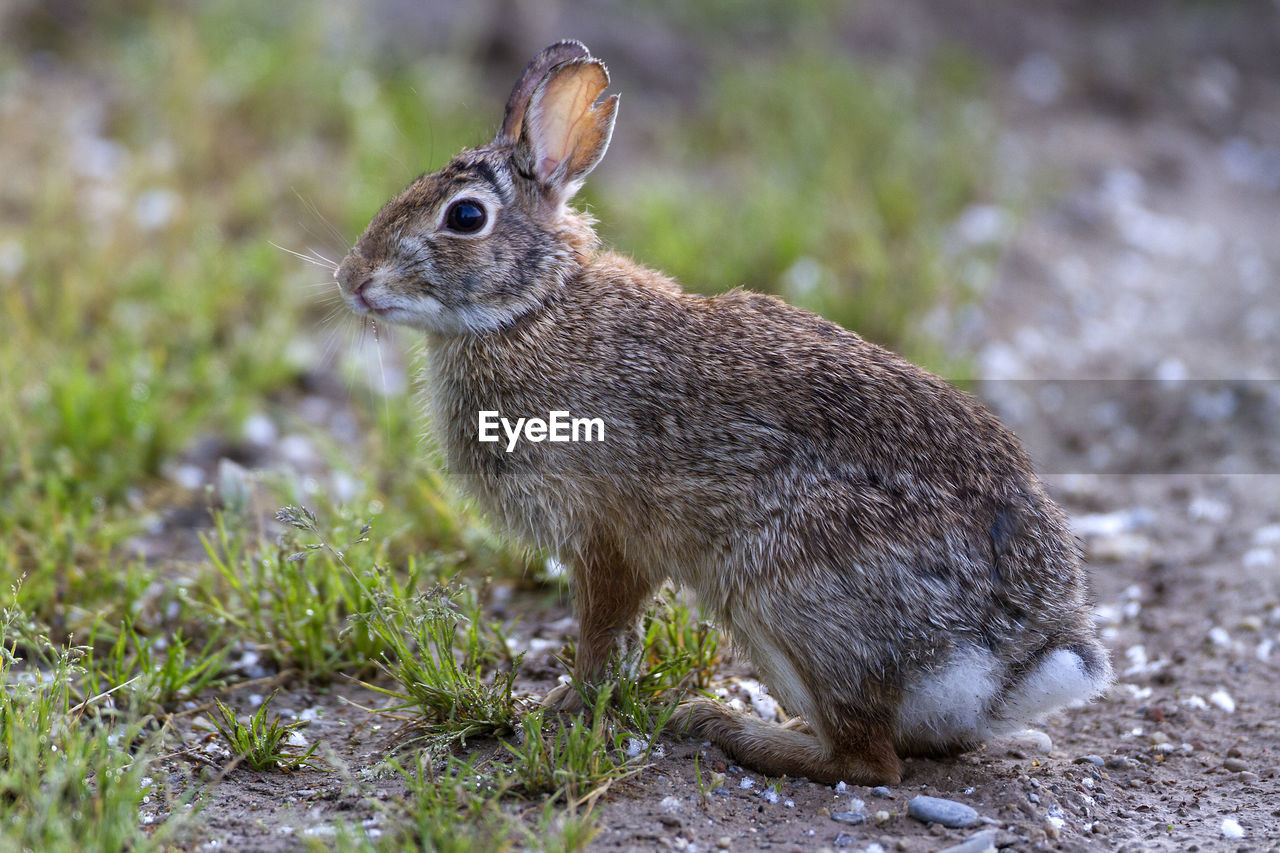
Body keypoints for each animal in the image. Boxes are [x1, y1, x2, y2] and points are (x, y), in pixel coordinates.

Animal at [332, 41, 1111, 783]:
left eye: (465, 217)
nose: (351, 278)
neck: (531, 309)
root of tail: (1022, 660)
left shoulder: (610, 536)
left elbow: (600, 633)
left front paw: (559, 705)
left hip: (785, 588)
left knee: (870, 762)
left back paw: (726, 726)